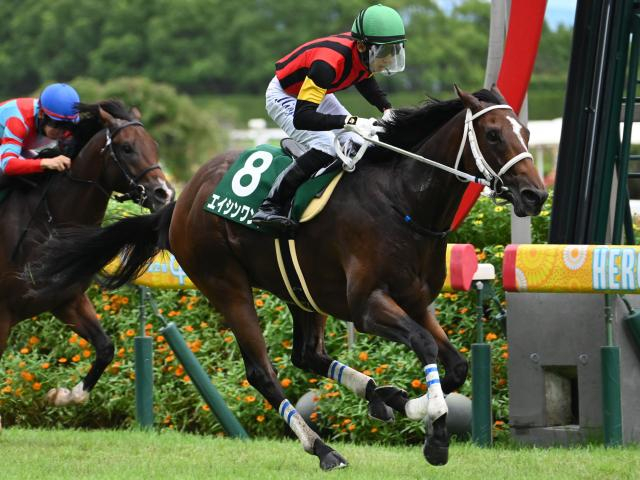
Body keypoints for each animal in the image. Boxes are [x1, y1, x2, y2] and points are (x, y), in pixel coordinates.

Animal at [0, 100, 174, 408]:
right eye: (127, 148)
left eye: (154, 145)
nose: (163, 193)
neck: (48, 224)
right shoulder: (2, 316)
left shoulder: (66, 299)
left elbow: (106, 347)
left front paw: (65, 394)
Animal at [26, 88, 544, 470]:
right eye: (493, 134)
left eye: (526, 131)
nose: (534, 195)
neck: (402, 201)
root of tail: (181, 199)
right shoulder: (369, 305)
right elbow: (424, 346)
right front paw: (430, 426)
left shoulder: (417, 300)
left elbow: (453, 364)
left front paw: (416, 412)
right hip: (225, 284)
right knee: (264, 372)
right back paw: (324, 448)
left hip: (301, 290)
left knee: (307, 354)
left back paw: (381, 397)